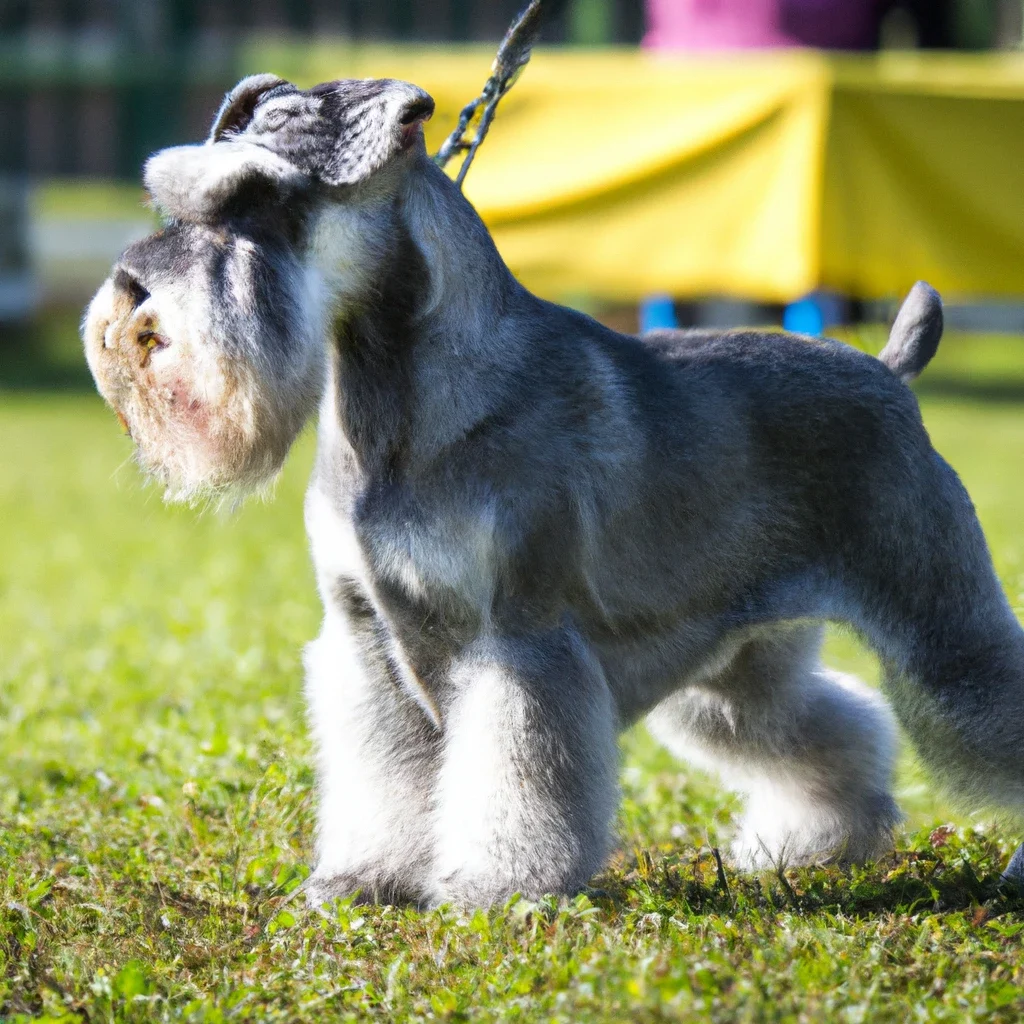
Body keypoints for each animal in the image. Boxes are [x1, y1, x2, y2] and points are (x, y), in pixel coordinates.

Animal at [83, 77, 1024, 905]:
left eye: (259, 200)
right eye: (172, 202)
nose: (133, 298)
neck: (403, 398)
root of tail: (891, 374)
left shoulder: (519, 638)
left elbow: (518, 777)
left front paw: (497, 888)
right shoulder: (364, 641)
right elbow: (381, 781)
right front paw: (363, 879)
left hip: (942, 630)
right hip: (735, 676)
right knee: (835, 727)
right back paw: (814, 845)